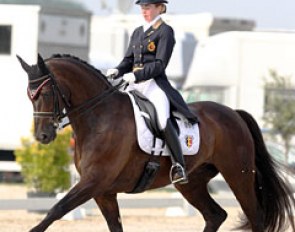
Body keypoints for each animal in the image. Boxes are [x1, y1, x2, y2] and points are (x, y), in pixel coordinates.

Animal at [16, 54, 295, 232]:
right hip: (191, 182)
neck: (100, 116)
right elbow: (114, 226)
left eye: (46, 93)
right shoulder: (103, 191)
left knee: (255, 218)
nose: (42, 136)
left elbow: (55, 210)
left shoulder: (93, 182)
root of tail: (233, 113)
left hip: (238, 175)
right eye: (29, 96)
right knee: (215, 215)